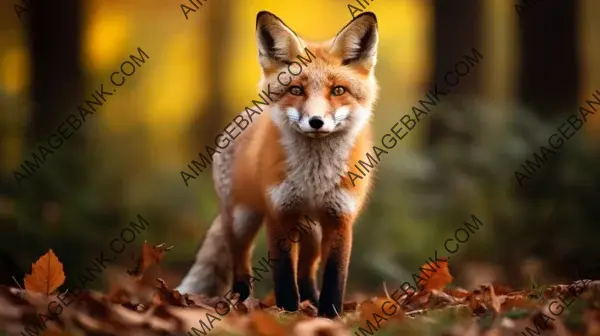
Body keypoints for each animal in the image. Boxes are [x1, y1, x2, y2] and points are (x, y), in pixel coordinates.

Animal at [176, 9, 380, 316]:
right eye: (296, 90)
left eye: (338, 90)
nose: (316, 122)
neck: (314, 178)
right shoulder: (280, 214)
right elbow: (284, 275)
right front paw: (288, 312)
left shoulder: (339, 218)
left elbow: (335, 276)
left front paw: (328, 314)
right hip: (241, 220)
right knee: (241, 265)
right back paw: (240, 301)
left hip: (312, 232)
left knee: (307, 271)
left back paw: (310, 300)